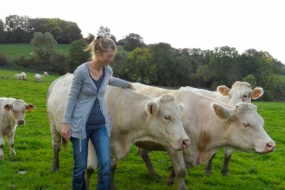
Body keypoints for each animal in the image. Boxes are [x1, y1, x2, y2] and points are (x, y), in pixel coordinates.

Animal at [45, 73, 190, 189]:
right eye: (167, 117)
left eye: (180, 115)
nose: (186, 141)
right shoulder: (92, 142)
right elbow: (89, 168)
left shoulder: (112, 144)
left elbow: (112, 167)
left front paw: (111, 186)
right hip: (53, 126)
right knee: (56, 146)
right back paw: (54, 167)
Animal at [133, 84, 272, 190]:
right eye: (246, 124)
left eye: (262, 122)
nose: (271, 144)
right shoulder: (174, 146)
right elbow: (181, 171)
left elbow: (175, 169)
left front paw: (169, 181)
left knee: (144, 153)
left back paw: (154, 174)